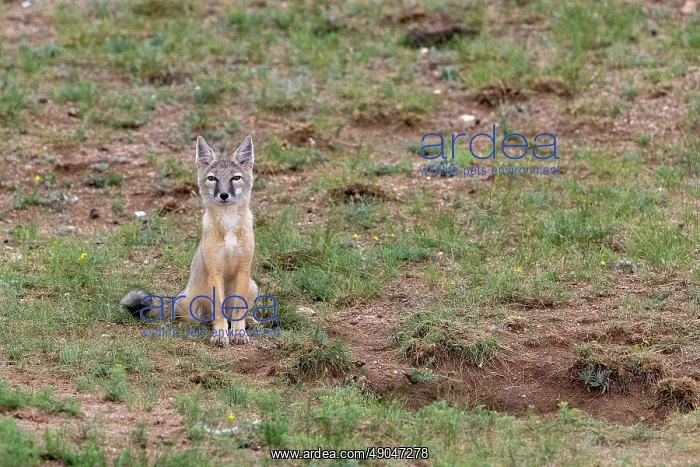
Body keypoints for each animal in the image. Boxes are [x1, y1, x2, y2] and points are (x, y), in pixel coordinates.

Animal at [121, 135, 258, 346]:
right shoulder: (215, 271)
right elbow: (219, 310)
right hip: (195, 306)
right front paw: (220, 334)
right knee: (198, 318)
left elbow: (238, 309)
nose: (224, 195)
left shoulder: (243, 270)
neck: (228, 226)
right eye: (212, 178)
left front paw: (239, 332)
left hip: (253, 286)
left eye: (235, 178)